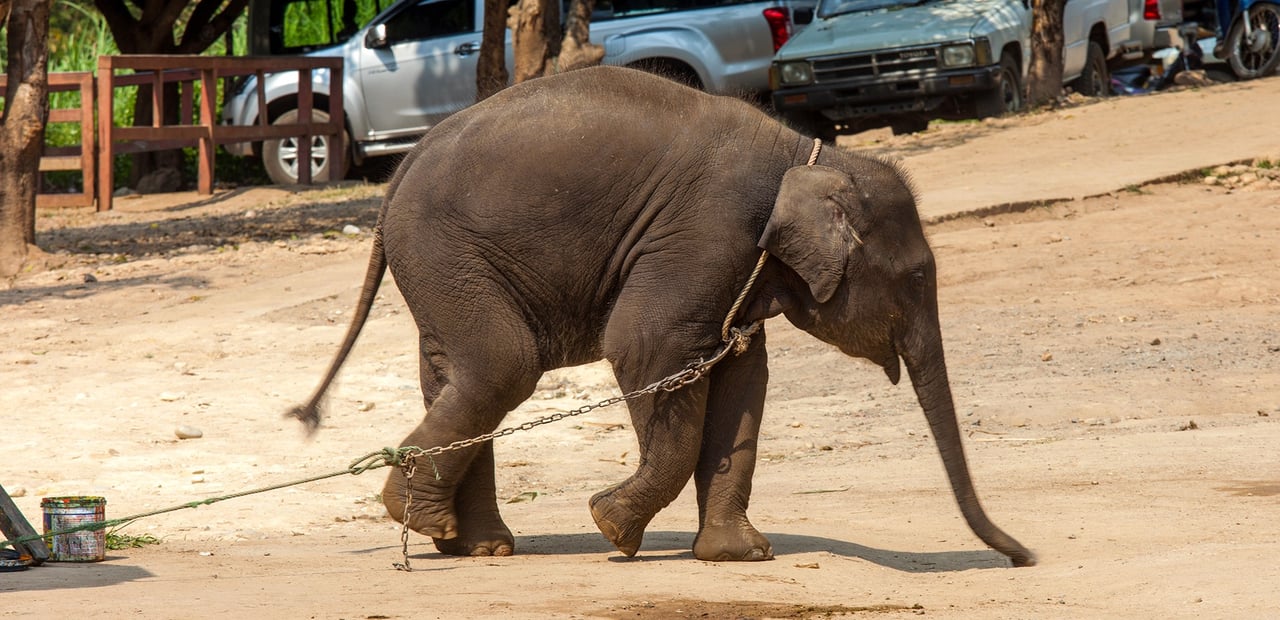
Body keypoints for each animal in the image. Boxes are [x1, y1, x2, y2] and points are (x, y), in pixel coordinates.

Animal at [288, 65, 1029, 563]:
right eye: (918, 277)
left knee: (454, 373)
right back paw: (426, 522)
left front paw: (737, 555)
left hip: (443, 264)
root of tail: (398, 172)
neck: (809, 156)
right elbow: (647, 348)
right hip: (446, 251)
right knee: (503, 365)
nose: (1023, 555)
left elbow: (743, 379)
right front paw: (612, 527)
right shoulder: (709, 235)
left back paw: (470, 544)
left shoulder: (737, 269)